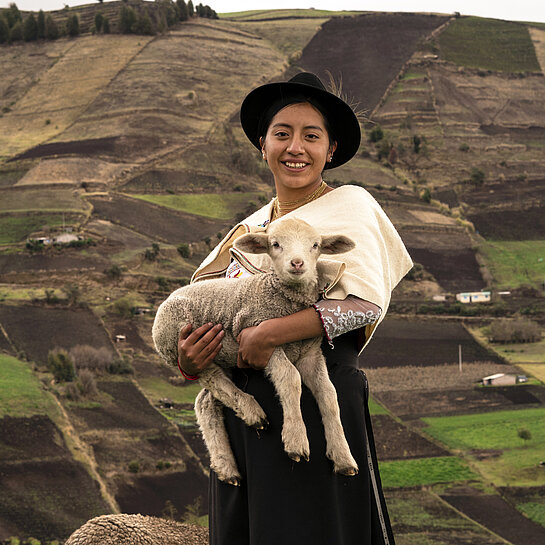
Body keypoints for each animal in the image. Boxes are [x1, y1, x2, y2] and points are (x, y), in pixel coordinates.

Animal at [152, 217, 356, 484]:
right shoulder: (262, 340)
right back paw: (252, 413)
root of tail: (170, 297)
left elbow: (329, 394)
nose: (297, 263)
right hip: (185, 345)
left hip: (223, 356)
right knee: (212, 380)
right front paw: (296, 441)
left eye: (315, 245)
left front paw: (343, 456)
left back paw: (226, 466)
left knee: (206, 402)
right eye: (275, 244)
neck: (282, 298)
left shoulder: (310, 354)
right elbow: (291, 380)